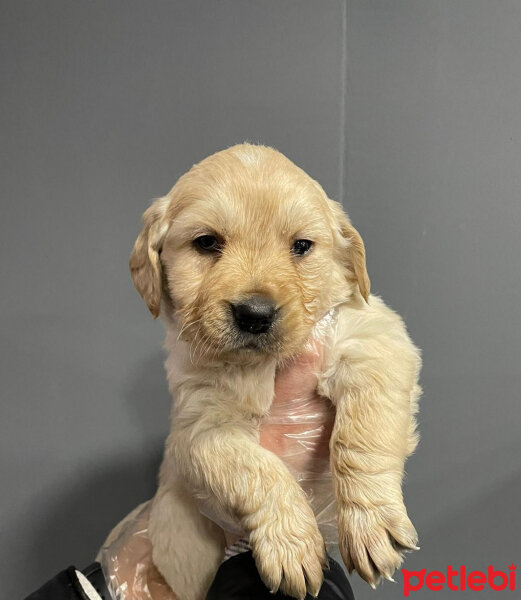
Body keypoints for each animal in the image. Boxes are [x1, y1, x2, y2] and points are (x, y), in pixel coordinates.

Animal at [130, 144, 422, 600]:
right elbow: (257, 472)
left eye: (301, 246)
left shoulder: (375, 339)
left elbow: (361, 433)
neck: (262, 365)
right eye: (206, 242)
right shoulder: (199, 427)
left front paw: (371, 520)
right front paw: (290, 543)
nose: (255, 314)